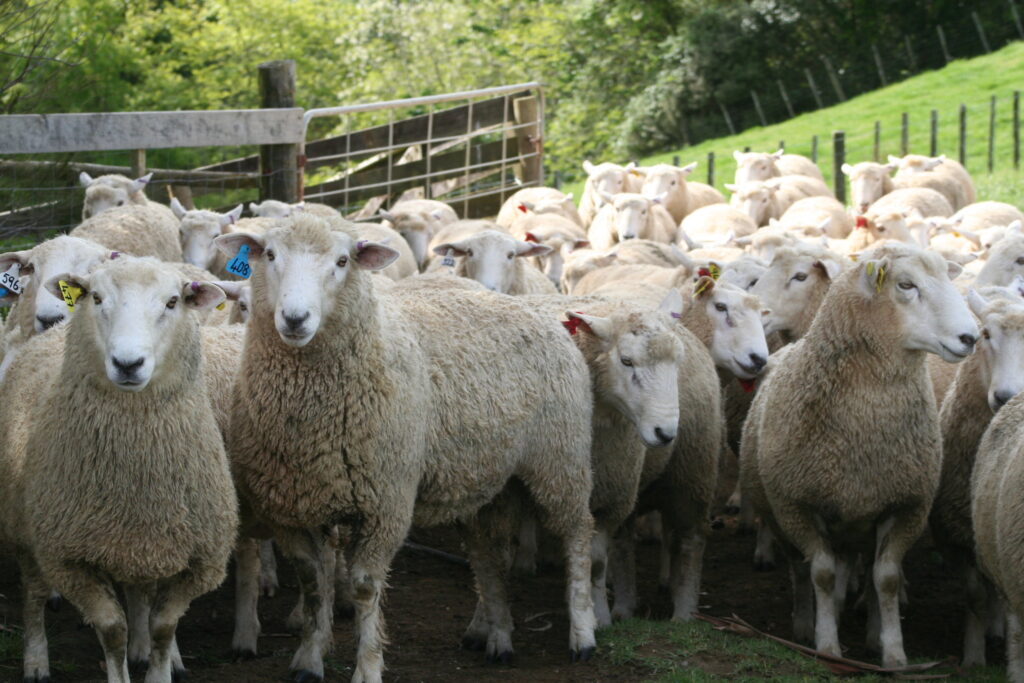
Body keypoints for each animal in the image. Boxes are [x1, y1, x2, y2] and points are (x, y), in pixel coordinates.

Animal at [10, 258, 237, 683]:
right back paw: (35, 660)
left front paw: (160, 665)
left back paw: (145, 649)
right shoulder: (68, 559)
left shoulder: (199, 558)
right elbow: (112, 630)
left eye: (172, 301)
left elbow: (164, 625)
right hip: (25, 527)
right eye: (97, 298)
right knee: (32, 593)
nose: (127, 364)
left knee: (139, 592)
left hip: (141, 546)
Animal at [216, 216, 598, 679]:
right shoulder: (292, 507)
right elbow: (313, 582)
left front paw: (367, 668)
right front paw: (309, 656)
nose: (294, 318)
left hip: (561, 456)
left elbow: (364, 587)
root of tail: (536, 310)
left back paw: (582, 633)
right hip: (486, 478)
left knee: (577, 533)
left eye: (342, 261)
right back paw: (497, 635)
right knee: (488, 555)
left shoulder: (386, 502)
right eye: (270, 255)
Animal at [745, 242, 974, 663]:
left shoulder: (904, 505)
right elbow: (820, 573)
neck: (864, 426)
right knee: (800, 570)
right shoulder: (799, 505)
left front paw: (893, 651)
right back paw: (805, 623)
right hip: (782, 512)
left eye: (800, 276)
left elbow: (886, 579)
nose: (970, 337)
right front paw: (827, 644)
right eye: (906, 285)